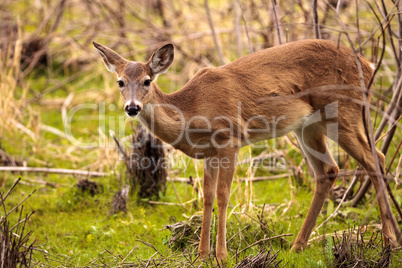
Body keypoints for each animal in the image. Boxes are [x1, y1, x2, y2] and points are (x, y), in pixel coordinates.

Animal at [92, 39, 402, 262]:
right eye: (120, 81)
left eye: (147, 80)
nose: (132, 107)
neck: (191, 110)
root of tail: (367, 64)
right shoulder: (209, 154)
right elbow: (206, 197)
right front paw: (202, 254)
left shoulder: (230, 139)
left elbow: (223, 196)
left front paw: (221, 255)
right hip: (308, 125)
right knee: (328, 170)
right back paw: (298, 247)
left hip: (342, 110)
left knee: (375, 158)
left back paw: (389, 241)